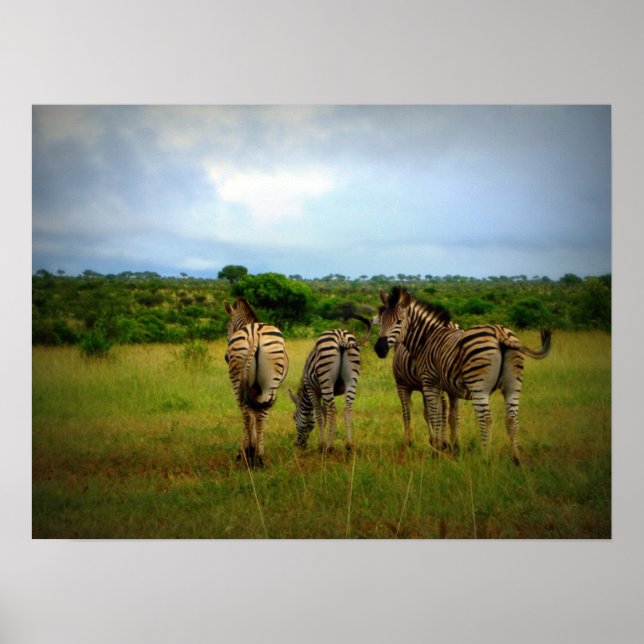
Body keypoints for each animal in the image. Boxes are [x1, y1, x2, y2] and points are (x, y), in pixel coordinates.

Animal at [224, 297, 289, 467]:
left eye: (227, 328)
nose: (226, 357)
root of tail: (254, 334)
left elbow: (251, 415)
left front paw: (247, 449)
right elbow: (256, 415)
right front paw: (251, 449)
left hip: (237, 379)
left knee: (246, 413)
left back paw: (249, 455)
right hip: (270, 383)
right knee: (260, 416)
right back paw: (258, 457)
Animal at [289, 316, 371, 453]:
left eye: (294, 417)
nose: (298, 445)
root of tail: (340, 336)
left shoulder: (311, 388)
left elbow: (319, 414)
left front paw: (321, 444)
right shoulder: (322, 392)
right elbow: (324, 413)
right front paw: (326, 440)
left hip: (326, 379)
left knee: (333, 409)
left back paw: (328, 447)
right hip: (351, 379)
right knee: (347, 407)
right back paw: (349, 445)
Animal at [374, 287, 551, 464]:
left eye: (398, 322)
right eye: (382, 321)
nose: (379, 349)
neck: (427, 339)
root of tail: (499, 332)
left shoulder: (429, 382)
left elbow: (433, 415)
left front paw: (435, 450)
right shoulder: (450, 388)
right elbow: (451, 416)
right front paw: (453, 449)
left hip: (478, 385)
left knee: (486, 418)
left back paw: (485, 459)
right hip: (513, 384)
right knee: (511, 418)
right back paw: (516, 459)